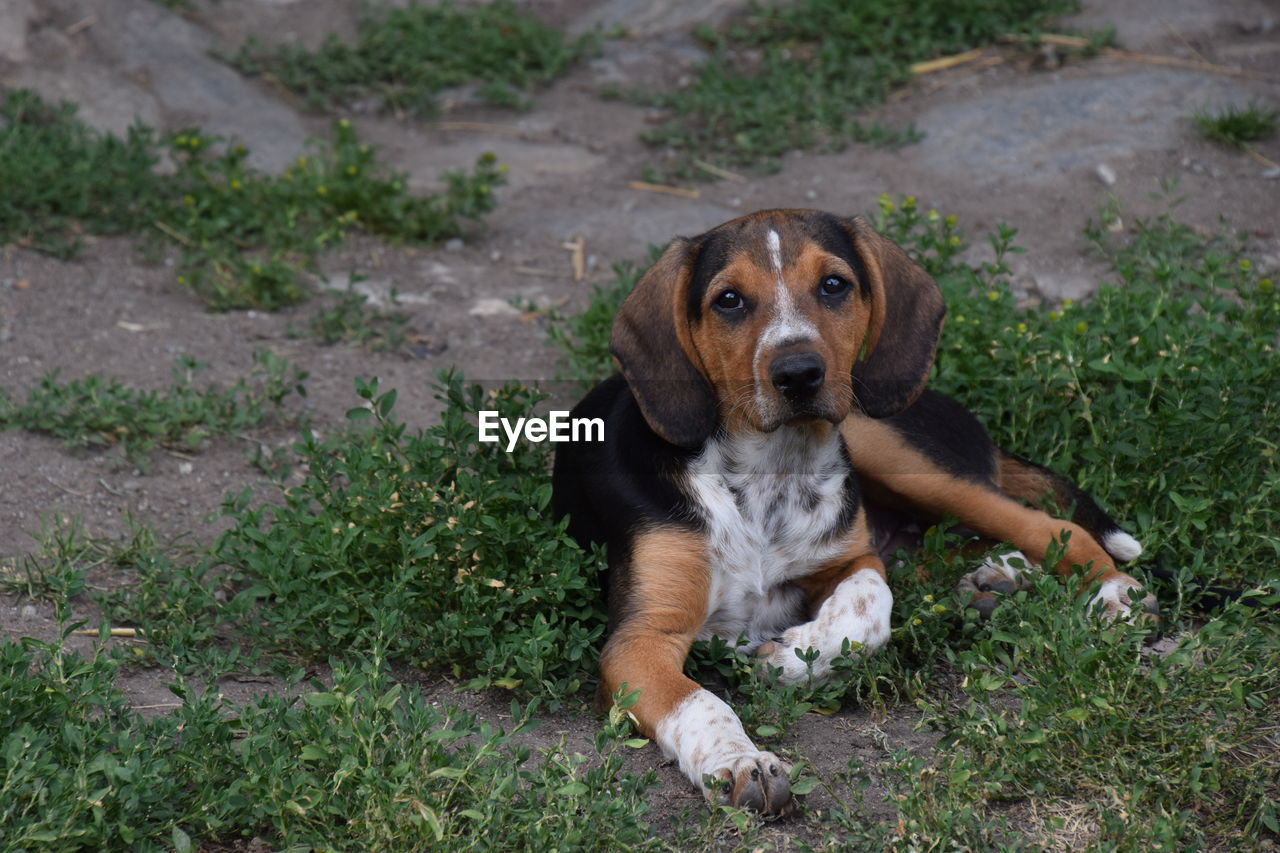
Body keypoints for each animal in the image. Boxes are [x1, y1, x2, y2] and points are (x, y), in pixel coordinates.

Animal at [550, 208, 1152, 814]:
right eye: (729, 300)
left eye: (834, 285)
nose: (798, 373)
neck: (771, 472)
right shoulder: (641, 638)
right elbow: (699, 702)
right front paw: (738, 760)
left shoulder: (851, 557)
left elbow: (870, 607)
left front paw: (790, 658)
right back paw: (998, 579)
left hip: (884, 441)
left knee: (1051, 526)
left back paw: (1113, 593)